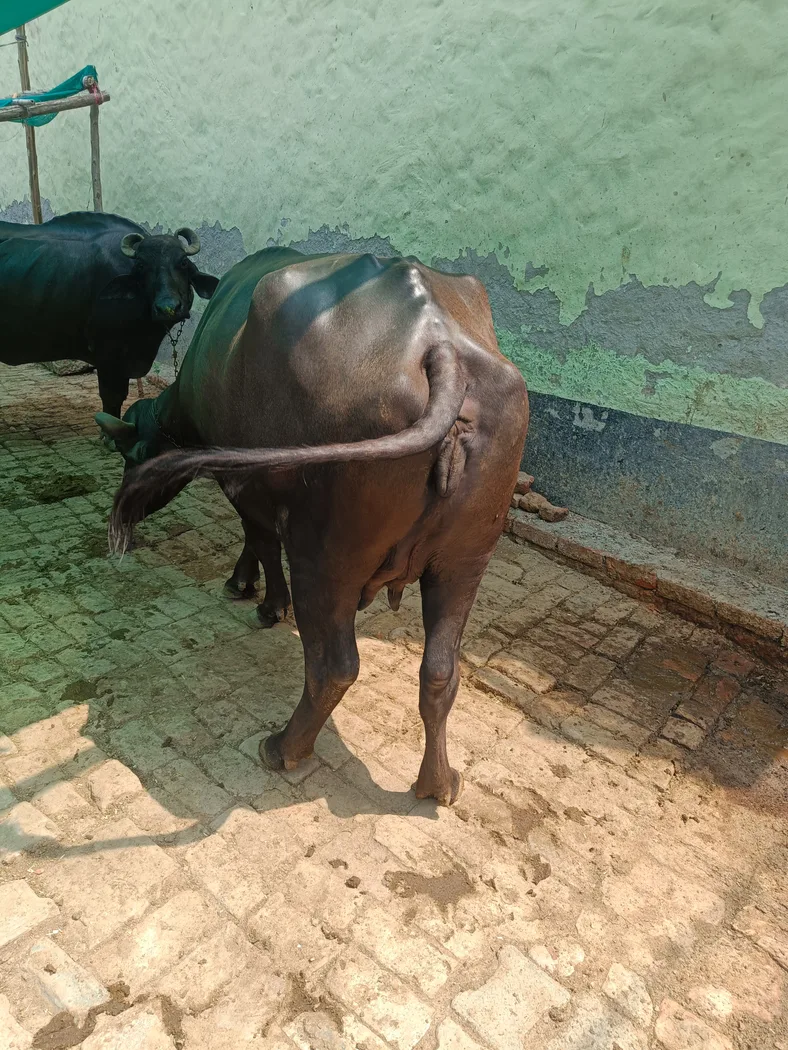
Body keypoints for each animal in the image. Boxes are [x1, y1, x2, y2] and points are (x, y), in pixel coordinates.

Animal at [99, 247, 528, 807]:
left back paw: (283, 747)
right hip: (465, 560)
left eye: (131, 455)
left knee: (334, 666)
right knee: (439, 672)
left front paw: (259, 598)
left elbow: (259, 541)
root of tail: (440, 348)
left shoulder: (242, 485)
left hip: (327, 559)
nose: (125, 518)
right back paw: (438, 783)